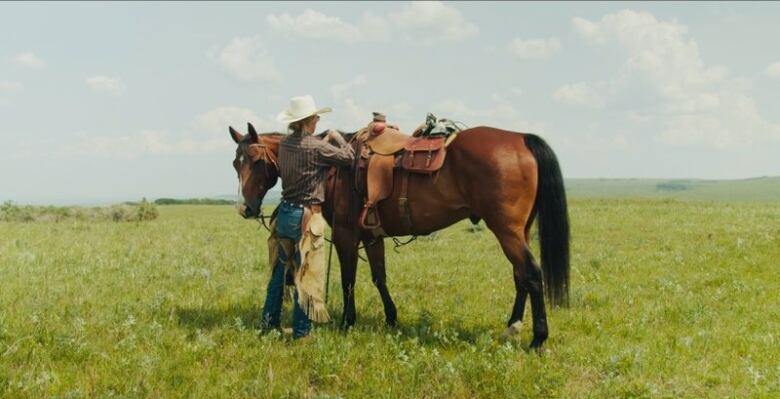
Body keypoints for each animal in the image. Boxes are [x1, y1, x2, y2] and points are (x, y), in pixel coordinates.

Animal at [229, 122, 568, 350]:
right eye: (235, 163)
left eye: (256, 161)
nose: (245, 208)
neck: (332, 169)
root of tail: (521, 139)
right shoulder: (371, 235)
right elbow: (379, 276)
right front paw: (392, 318)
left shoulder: (346, 235)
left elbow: (349, 280)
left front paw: (347, 321)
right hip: (519, 231)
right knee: (521, 275)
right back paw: (513, 327)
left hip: (507, 231)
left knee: (531, 274)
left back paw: (538, 339)